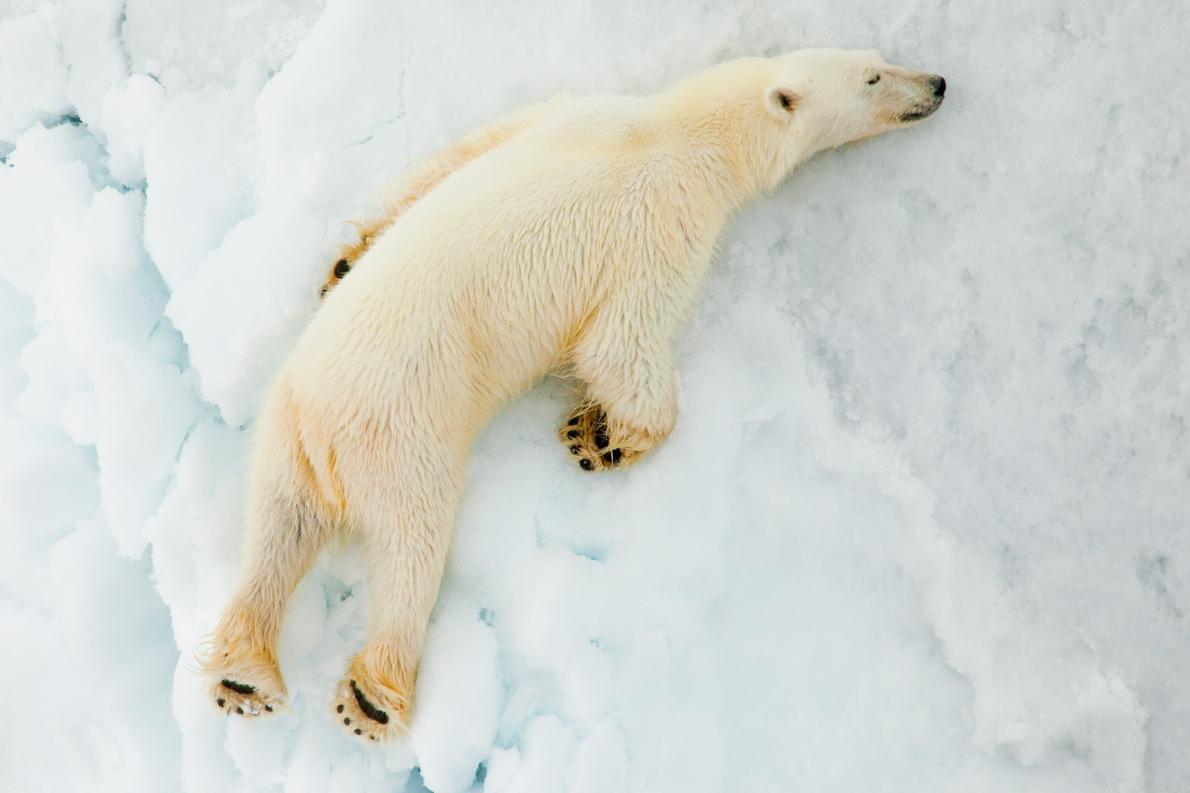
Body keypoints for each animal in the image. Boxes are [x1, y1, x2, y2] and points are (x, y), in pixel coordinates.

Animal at [204, 50, 947, 742]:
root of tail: (330, 440)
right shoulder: (664, 224)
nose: (938, 84)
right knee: (412, 549)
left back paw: (244, 676)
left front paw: (347, 258)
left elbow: (460, 155)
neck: (678, 131)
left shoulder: (565, 112)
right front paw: (600, 437)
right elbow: (623, 344)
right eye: (874, 77)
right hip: (406, 439)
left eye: (879, 59)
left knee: (276, 528)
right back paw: (373, 696)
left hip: (286, 428)